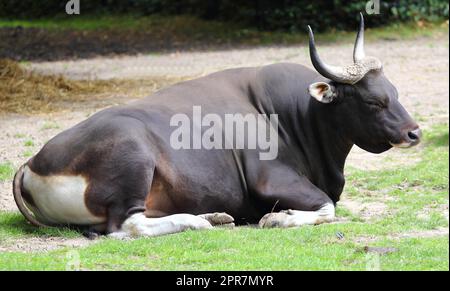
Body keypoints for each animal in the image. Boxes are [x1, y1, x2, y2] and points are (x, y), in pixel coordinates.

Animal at [14, 14, 422, 240]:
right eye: (373, 101)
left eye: (395, 92)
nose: (413, 133)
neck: (290, 116)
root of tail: (31, 165)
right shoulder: (271, 179)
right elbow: (327, 207)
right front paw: (279, 217)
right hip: (133, 158)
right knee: (126, 226)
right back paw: (200, 222)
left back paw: (213, 215)